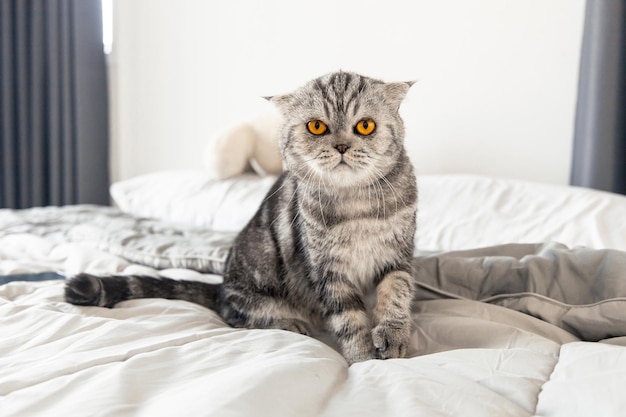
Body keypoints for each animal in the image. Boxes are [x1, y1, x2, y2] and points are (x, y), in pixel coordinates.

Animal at [63, 70, 416, 362]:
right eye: (316, 126)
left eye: (365, 125)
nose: (342, 146)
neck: (356, 204)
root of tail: (220, 285)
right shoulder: (329, 270)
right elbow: (349, 319)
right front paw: (363, 358)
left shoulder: (398, 256)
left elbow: (396, 294)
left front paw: (393, 338)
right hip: (252, 291)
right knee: (236, 314)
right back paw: (291, 322)